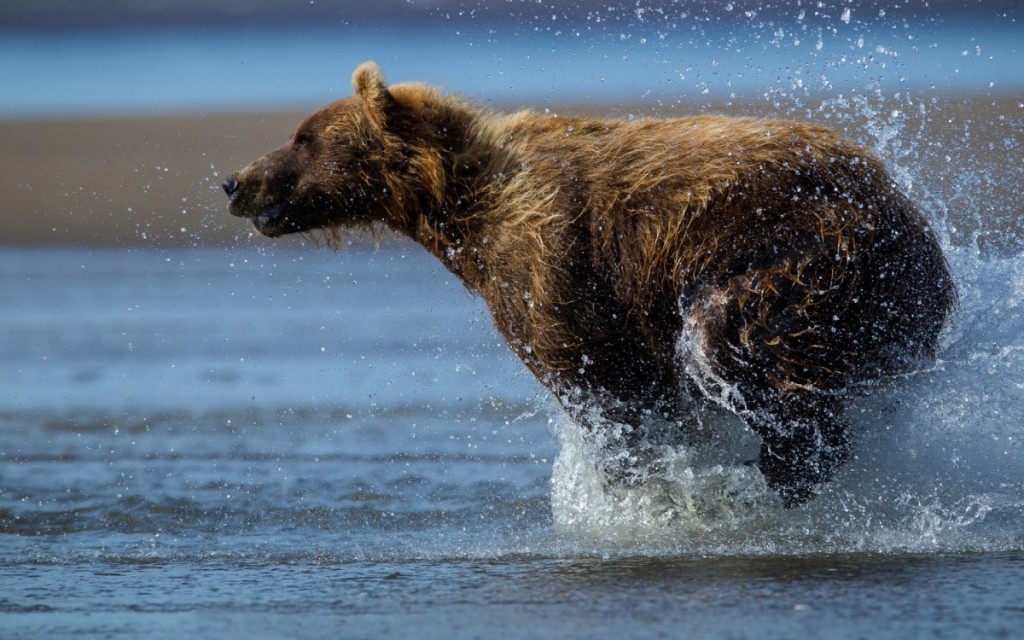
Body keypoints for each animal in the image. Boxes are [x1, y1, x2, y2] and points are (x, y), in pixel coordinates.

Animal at [224, 62, 958, 505]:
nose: (235, 180)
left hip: (809, 254)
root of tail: (908, 212)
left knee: (734, 342)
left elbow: (607, 389)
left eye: (304, 136)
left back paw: (786, 465)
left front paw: (637, 489)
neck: (461, 207)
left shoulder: (551, 265)